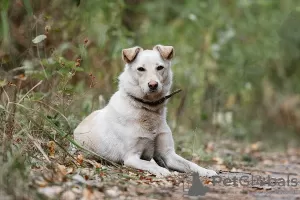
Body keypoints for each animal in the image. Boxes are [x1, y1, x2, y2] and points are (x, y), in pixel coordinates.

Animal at [74, 45, 217, 177]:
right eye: (141, 69)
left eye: (160, 67)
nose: (153, 85)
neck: (148, 109)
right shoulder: (131, 157)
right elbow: (149, 164)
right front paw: (162, 171)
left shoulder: (168, 154)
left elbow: (190, 163)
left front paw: (205, 170)